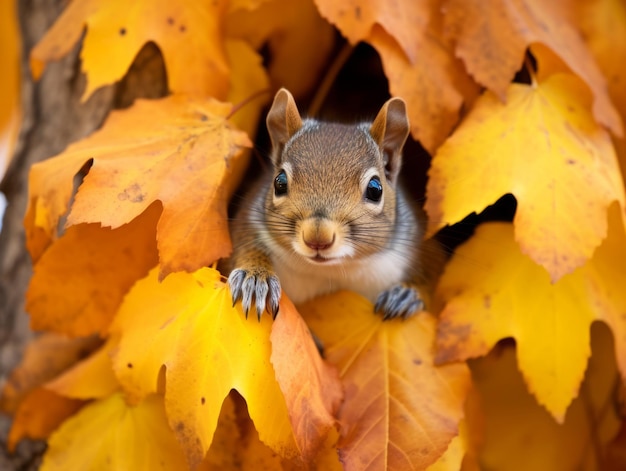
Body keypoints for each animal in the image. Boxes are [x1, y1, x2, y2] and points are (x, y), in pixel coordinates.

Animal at [228, 89, 434, 320]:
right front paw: (254, 277)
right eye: (279, 182)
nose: (318, 238)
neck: (330, 270)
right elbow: (245, 246)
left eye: (375, 189)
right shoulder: (249, 219)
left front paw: (407, 293)